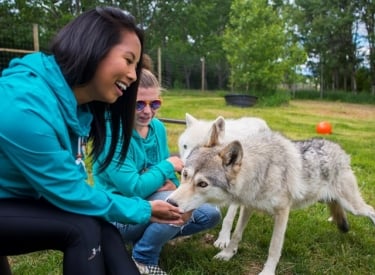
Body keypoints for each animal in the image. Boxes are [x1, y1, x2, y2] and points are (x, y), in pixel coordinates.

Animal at [170, 117, 375, 275]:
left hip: (353, 206)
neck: (262, 170)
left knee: (370, 209)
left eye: (203, 184)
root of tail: (339, 149)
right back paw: (333, 219)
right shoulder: (247, 207)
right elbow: (236, 234)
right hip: (331, 201)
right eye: (185, 175)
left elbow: (274, 248)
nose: (170, 202)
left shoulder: (282, 213)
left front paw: (267, 272)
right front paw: (227, 254)